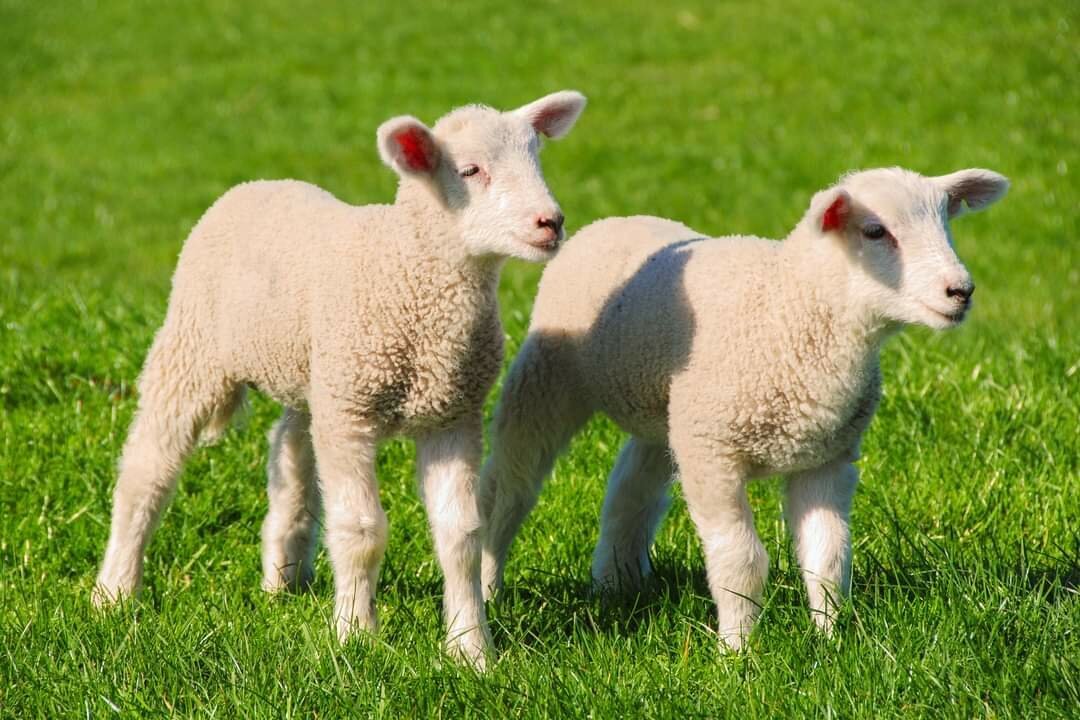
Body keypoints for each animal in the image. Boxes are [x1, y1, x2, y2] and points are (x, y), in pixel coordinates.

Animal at [93, 90, 588, 668]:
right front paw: (355, 635)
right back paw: (114, 591)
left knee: (289, 449)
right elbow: (360, 529)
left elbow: (461, 534)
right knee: (147, 469)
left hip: (313, 374)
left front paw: (470, 649)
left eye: (537, 159)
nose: (551, 222)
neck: (413, 278)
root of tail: (256, 184)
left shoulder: (452, 415)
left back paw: (281, 576)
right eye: (470, 170)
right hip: (195, 349)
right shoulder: (352, 413)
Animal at [479, 167, 1009, 650]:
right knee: (510, 486)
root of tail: (614, 220)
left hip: (669, 413)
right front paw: (738, 651)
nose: (961, 291)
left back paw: (615, 582)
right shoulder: (714, 454)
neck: (790, 308)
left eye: (946, 223)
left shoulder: (826, 459)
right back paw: (487, 585)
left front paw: (830, 640)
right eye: (876, 231)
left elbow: (828, 557)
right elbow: (741, 560)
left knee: (631, 487)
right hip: (549, 376)